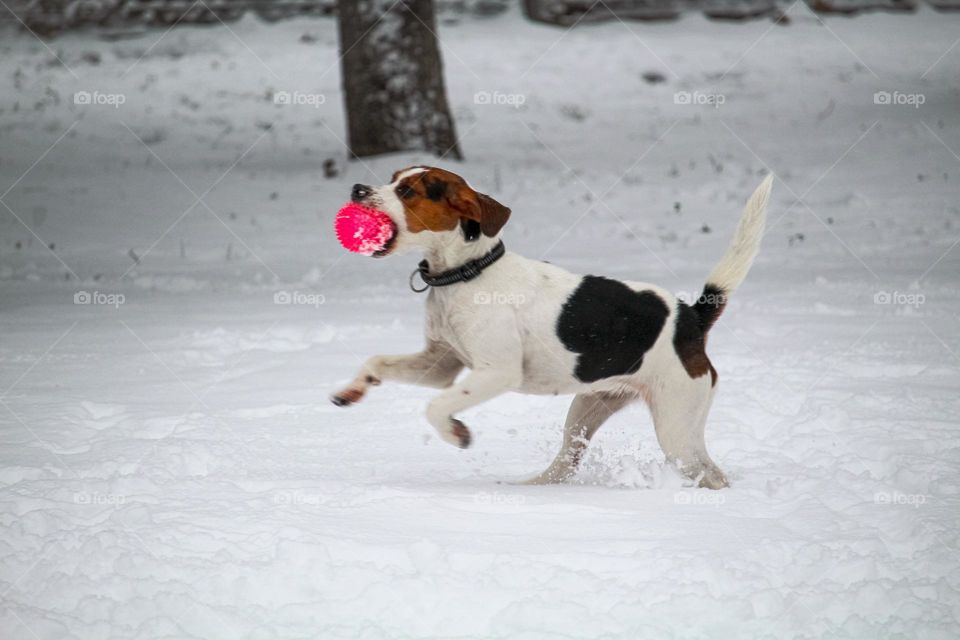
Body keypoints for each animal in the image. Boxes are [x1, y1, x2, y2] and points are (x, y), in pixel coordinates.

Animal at [332, 168, 772, 488]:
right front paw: (351, 391)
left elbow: (436, 407)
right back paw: (534, 487)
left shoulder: (496, 372)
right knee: (566, 463)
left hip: (676, 427)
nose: (357, 188)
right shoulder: (440, 364)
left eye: (407, 190)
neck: (467, 274)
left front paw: (456, 434)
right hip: (587, 410)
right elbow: (377, 362)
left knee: (709, 474)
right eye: (393, 178)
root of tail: (691, 318)